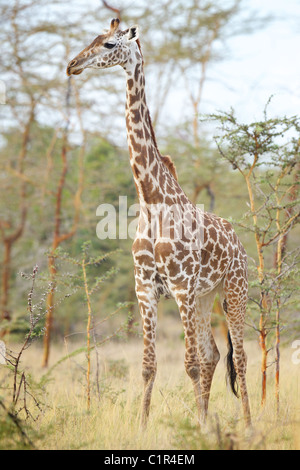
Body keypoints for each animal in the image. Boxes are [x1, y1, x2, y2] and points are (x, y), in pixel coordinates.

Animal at [67, 19, 251, 430]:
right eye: (91, 38)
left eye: (110, 43)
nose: (72, 65)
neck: (150, 200)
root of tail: (239, 243)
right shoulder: (146, 289)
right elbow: (149, 366)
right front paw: (143, 425)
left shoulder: (180, 288)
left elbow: (189, 364)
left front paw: (199, 428)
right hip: (205, 298)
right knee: (215, 354)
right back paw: (210, 416)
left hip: (233, 291)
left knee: (240, 357)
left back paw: (247, 423)